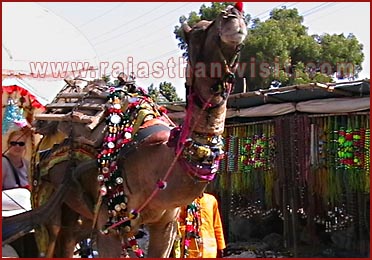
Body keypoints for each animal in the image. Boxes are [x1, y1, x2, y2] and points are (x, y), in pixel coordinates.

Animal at [3, 3, 247, 256]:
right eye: (197, 34)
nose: (232, 14)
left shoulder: (166, 224)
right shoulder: (107, 223)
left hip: (77, 212)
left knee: (69, 238)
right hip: (48, 200)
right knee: (52, 240)